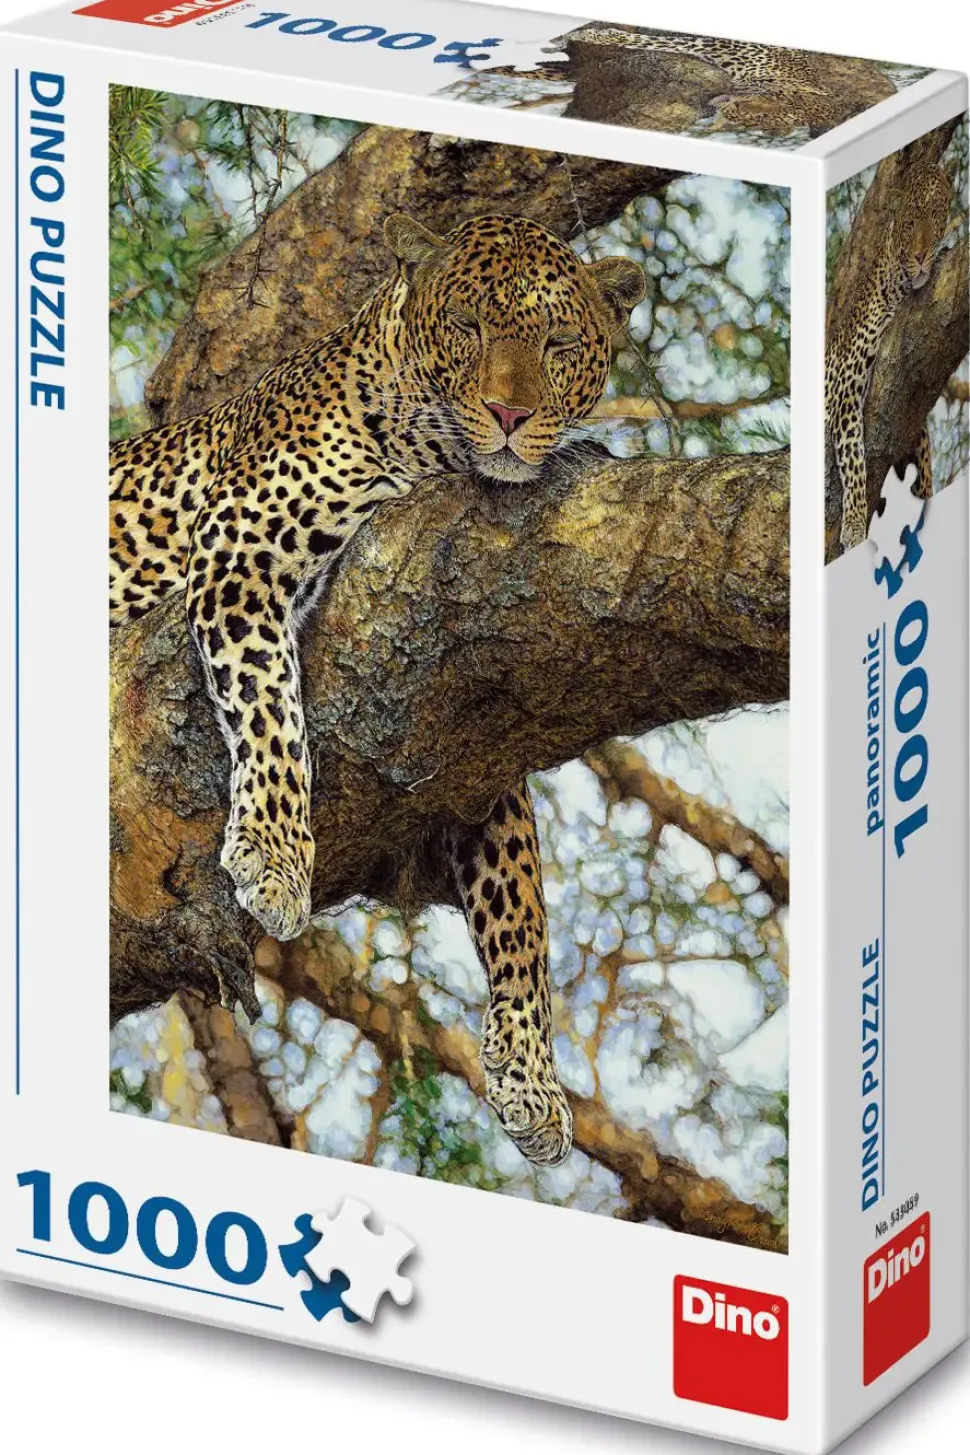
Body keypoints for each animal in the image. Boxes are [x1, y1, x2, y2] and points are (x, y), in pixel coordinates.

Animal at [109, 211, 646, 1167]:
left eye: (558, 344)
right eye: (468, 326)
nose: (511, 416)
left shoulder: (472, 736)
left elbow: (523, 895)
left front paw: (531, 1075)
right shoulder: (240, 549)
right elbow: (271, 709)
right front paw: (275, 855)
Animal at [826, 165, 952, 553]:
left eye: (936, 215)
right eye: (909, 223)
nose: (923, 256)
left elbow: (924, 459)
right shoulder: (846, 389)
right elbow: (855, 457)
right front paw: (853, 525)